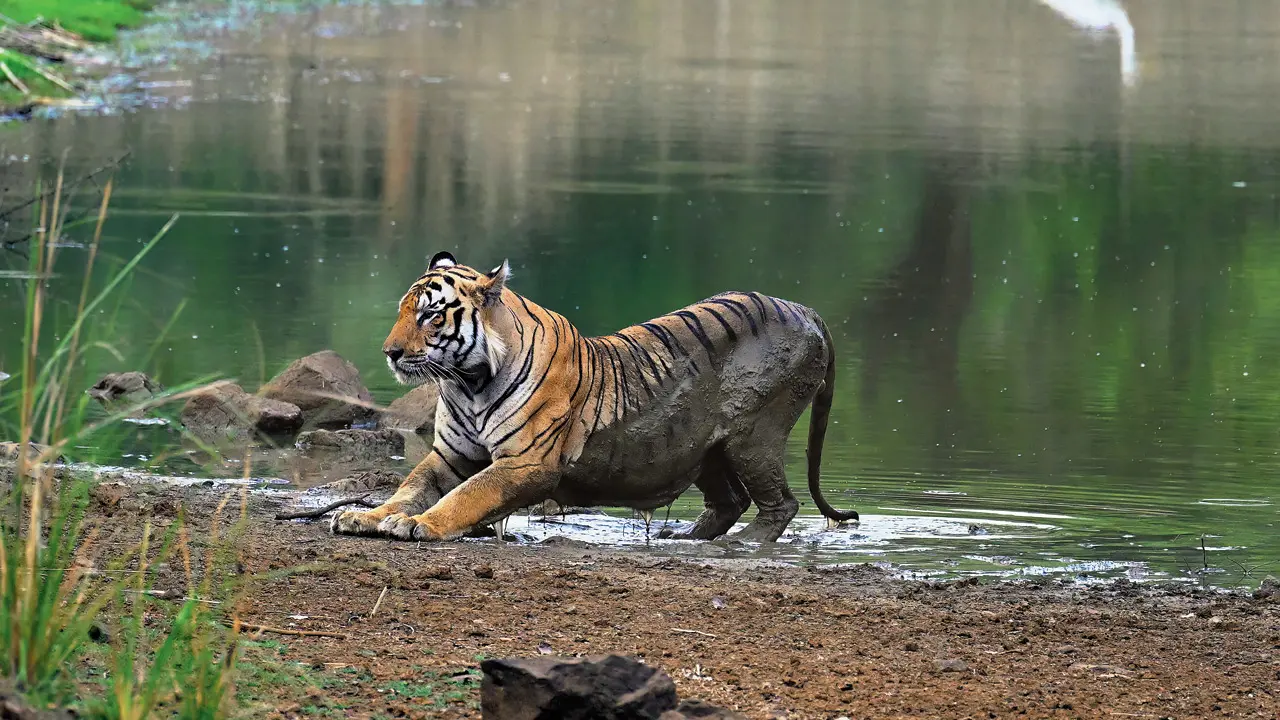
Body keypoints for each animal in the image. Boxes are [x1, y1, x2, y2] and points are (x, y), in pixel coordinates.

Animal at [330, 251, 859, 543]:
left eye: (431, 315)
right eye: (404, 311)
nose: (390, 352)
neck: (468, 381)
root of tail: (806, 309)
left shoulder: (526, 463)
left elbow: (468, 495)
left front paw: (420, 525)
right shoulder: (450, 454)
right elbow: (409, 487)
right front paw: (365, 516)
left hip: (754, 435)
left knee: (780, 504)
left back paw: (741, 544)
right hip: (702, 446)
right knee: (729, 502)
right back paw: (685, 537)